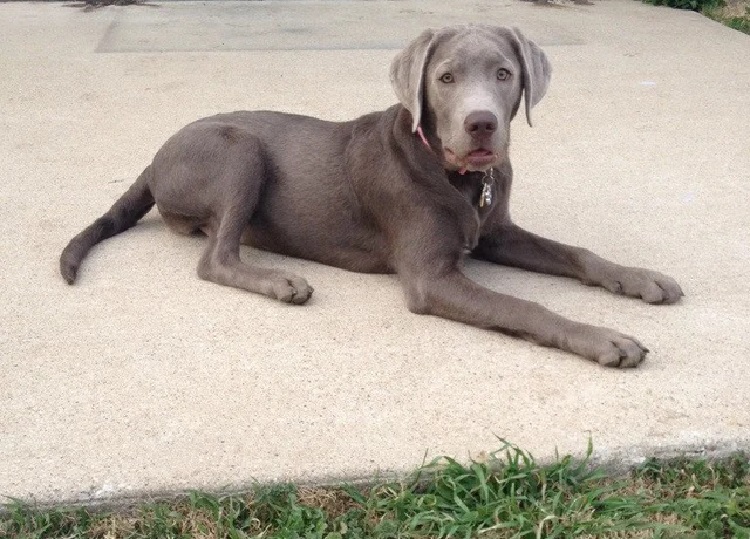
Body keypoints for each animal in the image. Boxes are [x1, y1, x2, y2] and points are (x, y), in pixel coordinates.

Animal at [61, 26, 684, 372]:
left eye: (504, 74)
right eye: (446, 78)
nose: (481, 125)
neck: (454, 174)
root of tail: (154, 157)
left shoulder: (495, 231)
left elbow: (577, 253)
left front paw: (640, 278)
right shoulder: (432, 279)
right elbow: (525, 306)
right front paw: (605, 337)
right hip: (239, 152)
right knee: (215, 258)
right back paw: (280, 282)